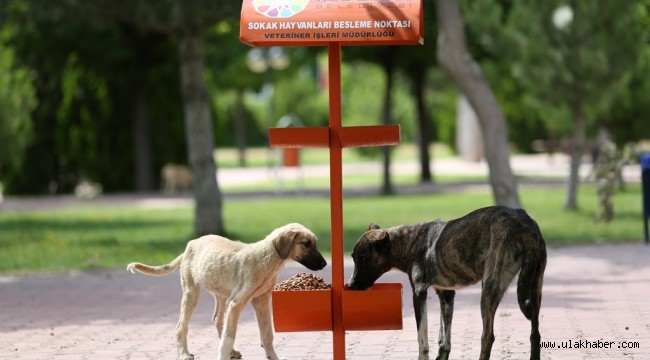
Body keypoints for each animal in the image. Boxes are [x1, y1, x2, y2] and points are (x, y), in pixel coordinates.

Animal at [126, 222, 326, 360]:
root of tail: (191, 244)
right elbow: (229, 337)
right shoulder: (237, 303)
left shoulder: (261, 301)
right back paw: (183, 354)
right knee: (181, 327)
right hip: (192, 293)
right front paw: (223, 354)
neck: (267, 259)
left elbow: (267, 335)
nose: (324, 264)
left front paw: (274, 357)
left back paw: (231, 351)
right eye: (306, 243)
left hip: (222, 296)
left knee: (218, 320)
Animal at [346, 207, 544, 360]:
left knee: (488, 336)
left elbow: (422, 339)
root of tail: (524, 223)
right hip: (535, 288)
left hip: (489, 288)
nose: (351, 285)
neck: (409, 242)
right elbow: (444, 340)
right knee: (535, 334)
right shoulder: (446, 294)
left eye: (362, 258)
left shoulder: (419, 293)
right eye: (353, 257)